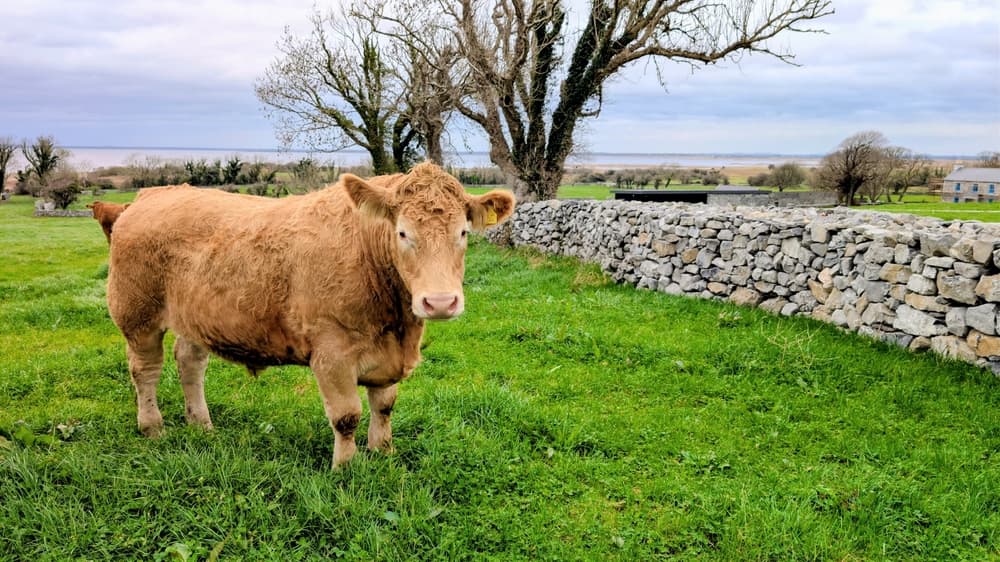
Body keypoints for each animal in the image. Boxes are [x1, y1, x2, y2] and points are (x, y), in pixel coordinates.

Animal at [106, 162, 515, 467]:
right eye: (402, 233)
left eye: (463, 233)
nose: (441, 302)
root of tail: (153, 193)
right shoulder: (332, 352)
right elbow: (347, 416)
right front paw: (346, 468)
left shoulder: (388, 353)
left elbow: (384, 407)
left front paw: (383, 453)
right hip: (137, 314)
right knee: (145, 370)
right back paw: (152, 427)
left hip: (195, 316)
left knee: (190, 363)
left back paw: (202, 425)